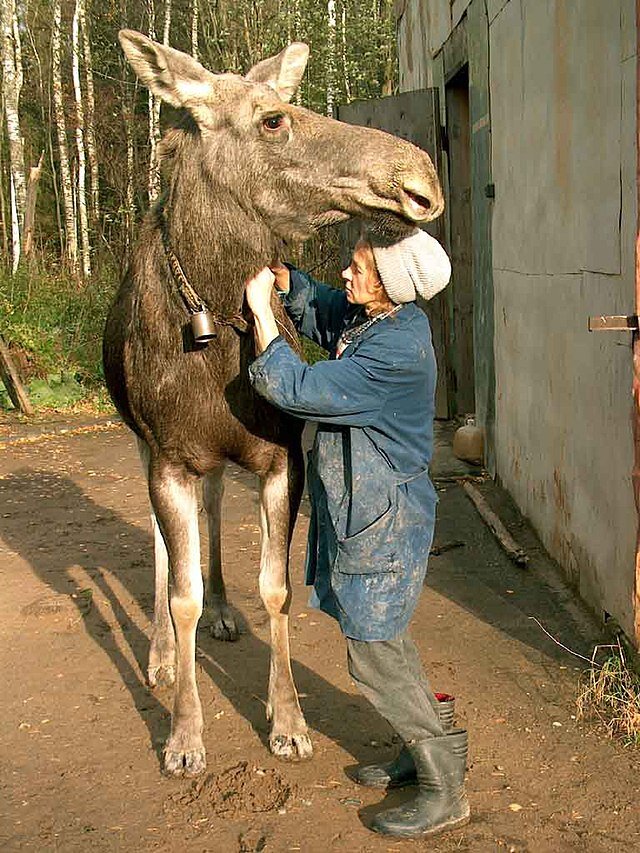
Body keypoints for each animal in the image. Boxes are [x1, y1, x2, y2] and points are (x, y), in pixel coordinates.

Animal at [105, 31, 444, 780]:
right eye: (273, 119)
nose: (422, 180)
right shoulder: (168, 456)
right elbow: (180, 593)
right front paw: (184, 735)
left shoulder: (281, 454)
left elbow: (277, 589)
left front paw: (287, 721)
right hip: (142, 443)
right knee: (163, 550)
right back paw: (161, 657)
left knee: (210, 510)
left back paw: (224, 613)